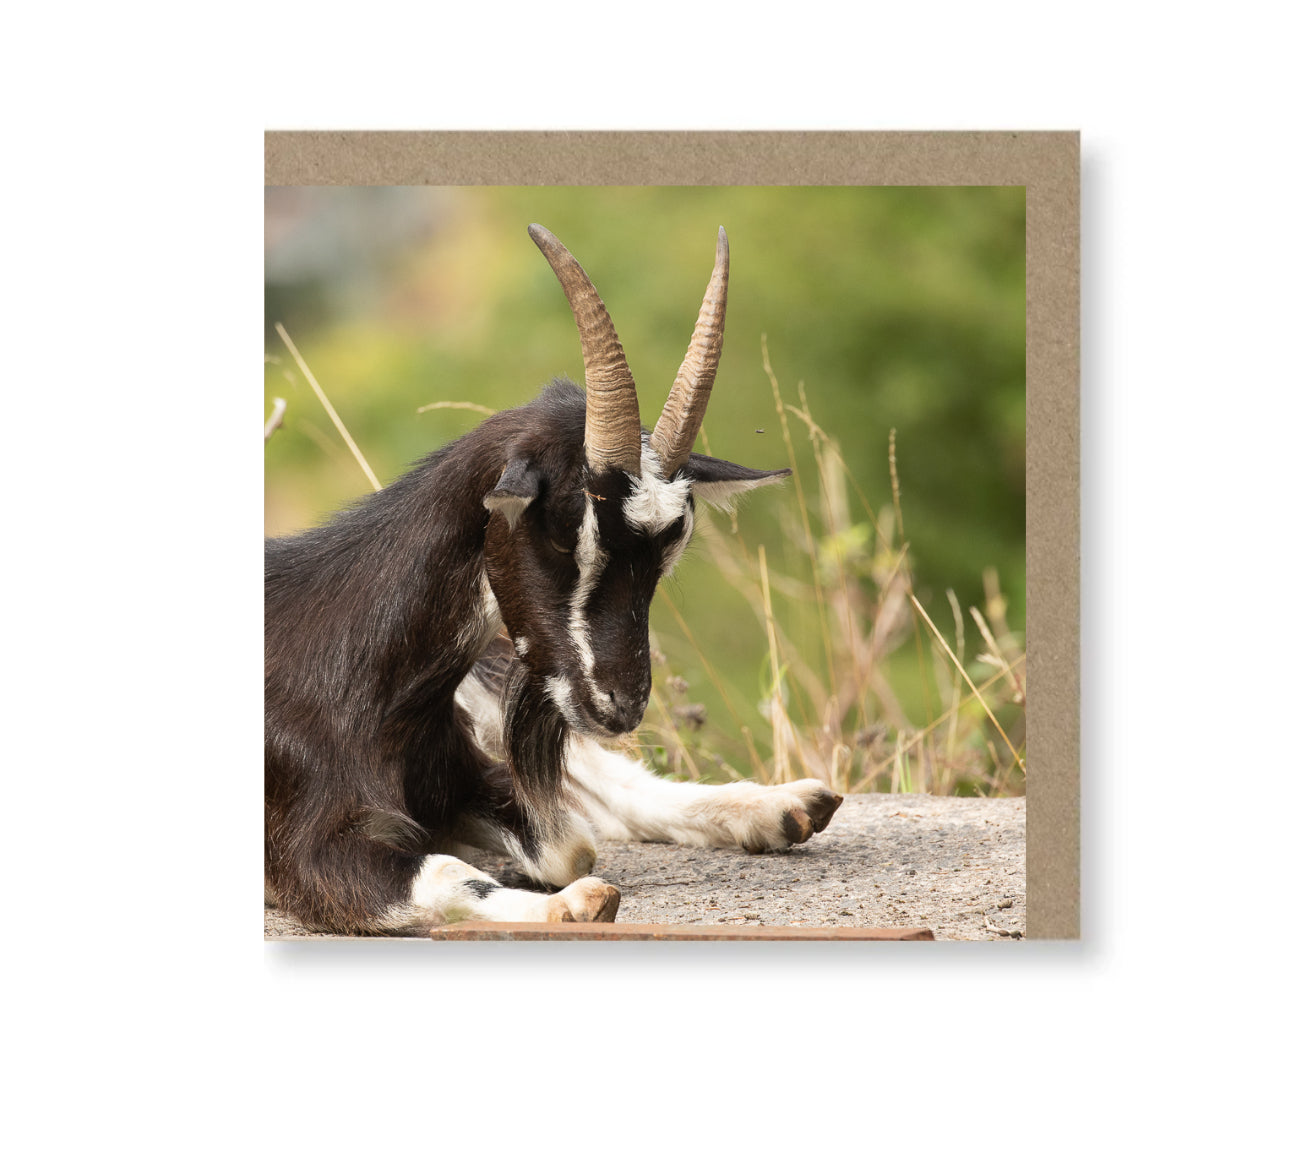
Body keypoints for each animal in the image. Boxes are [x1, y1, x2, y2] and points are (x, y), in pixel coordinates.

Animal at [265, 224, 843, 933]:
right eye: (567, 532)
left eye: (670, 548)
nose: (622, 704)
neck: (358, 678)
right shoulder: (306, 846)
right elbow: (465, 868)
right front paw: (569, 903)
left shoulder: (466, 769)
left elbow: (571, 842)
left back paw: (780, 806)